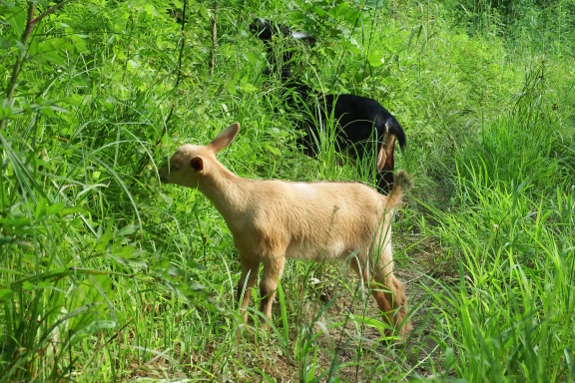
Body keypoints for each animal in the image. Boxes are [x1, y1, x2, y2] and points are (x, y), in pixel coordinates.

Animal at [159, 123, 414, 340]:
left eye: (177, 166)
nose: (161, 174)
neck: (244, 200)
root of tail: (386, 201)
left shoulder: (275, 251)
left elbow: (267, 289)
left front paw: (262, 330)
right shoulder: (248, 253)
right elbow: (243, 287)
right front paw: (238, 324)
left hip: (377, 246)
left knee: (395, 288)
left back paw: (400, 336)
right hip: (359, 256)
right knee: (379, 289)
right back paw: (389, 334)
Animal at [250, 18, 408, 194]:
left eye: (275, 27)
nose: (255, 21)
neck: (284, 82)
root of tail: (389, 120)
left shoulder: (292, 133)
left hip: (366, 151)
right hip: (386, 155)